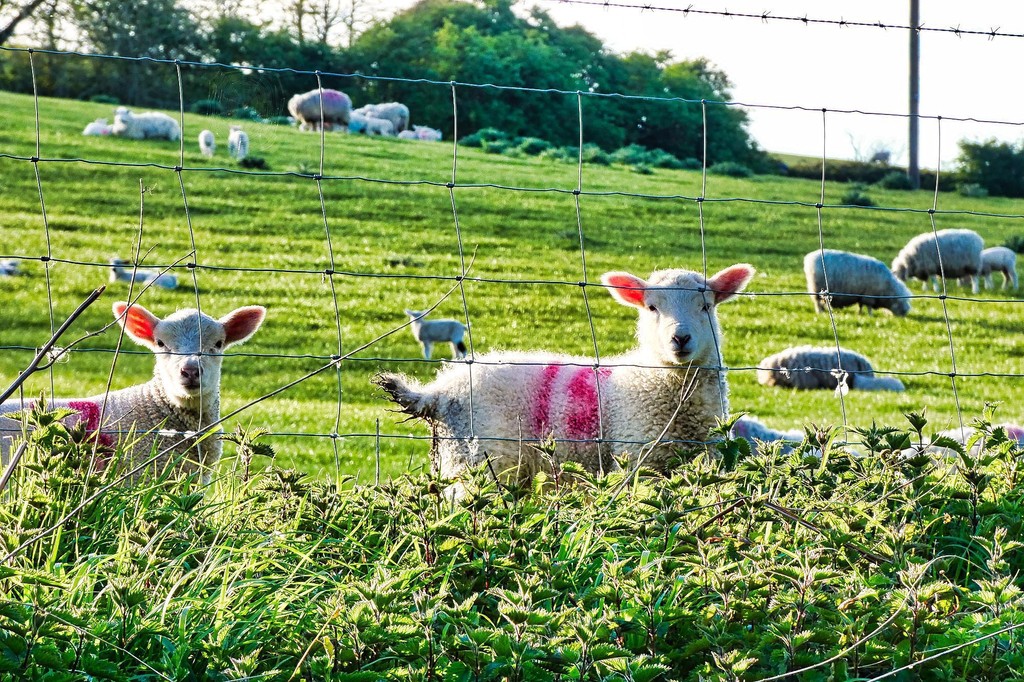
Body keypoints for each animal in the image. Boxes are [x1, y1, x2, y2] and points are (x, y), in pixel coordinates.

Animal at [374, 261, 753, 489]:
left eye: (706, 306)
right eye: (651, 307)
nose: (680, 339)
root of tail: (437, 391)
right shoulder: (638, 458)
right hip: (479, 459)